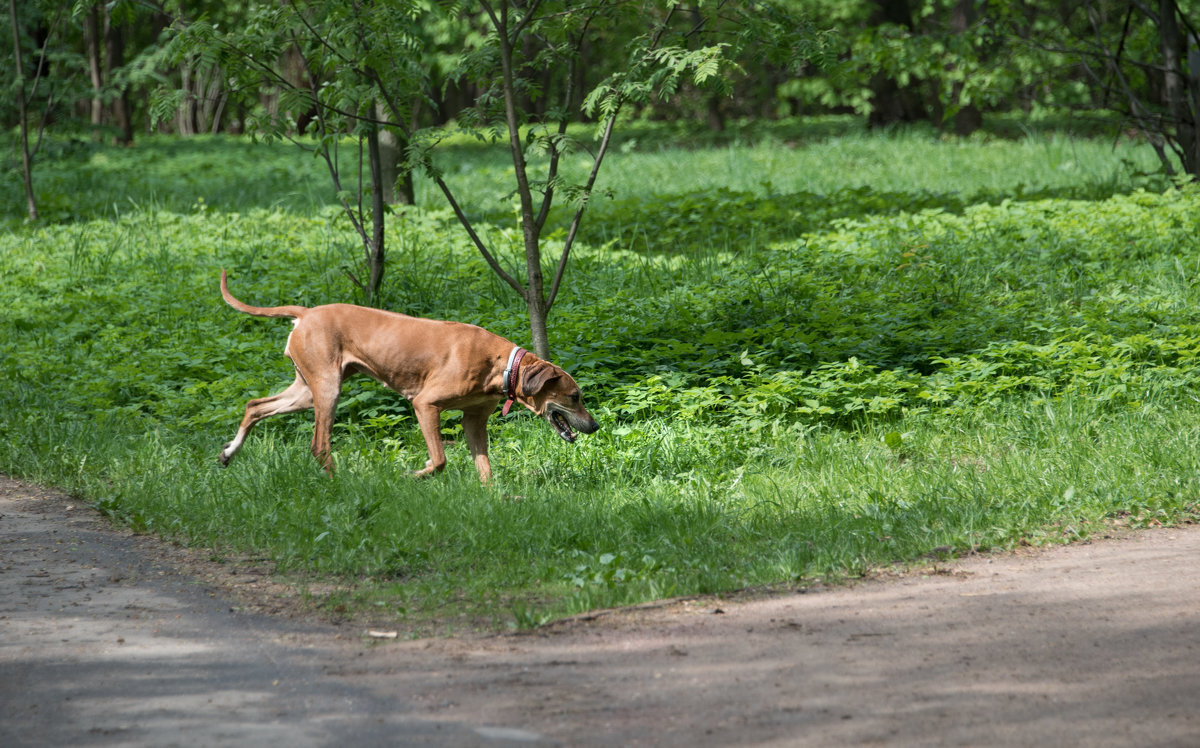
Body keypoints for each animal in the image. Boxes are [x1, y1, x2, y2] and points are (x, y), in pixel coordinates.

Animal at [217, 272, 600, 482]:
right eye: (575, 396)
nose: (595, 426)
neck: (503, 365)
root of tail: (306, 313)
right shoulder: (425, 405)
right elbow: (440, 460)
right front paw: (414, 475)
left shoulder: (474, 421)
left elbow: (485, 469)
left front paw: (495, 500)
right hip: (327, 390)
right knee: (319, 445)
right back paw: (341, 483)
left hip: (306, 390)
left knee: (255, 405)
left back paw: (228, 453)